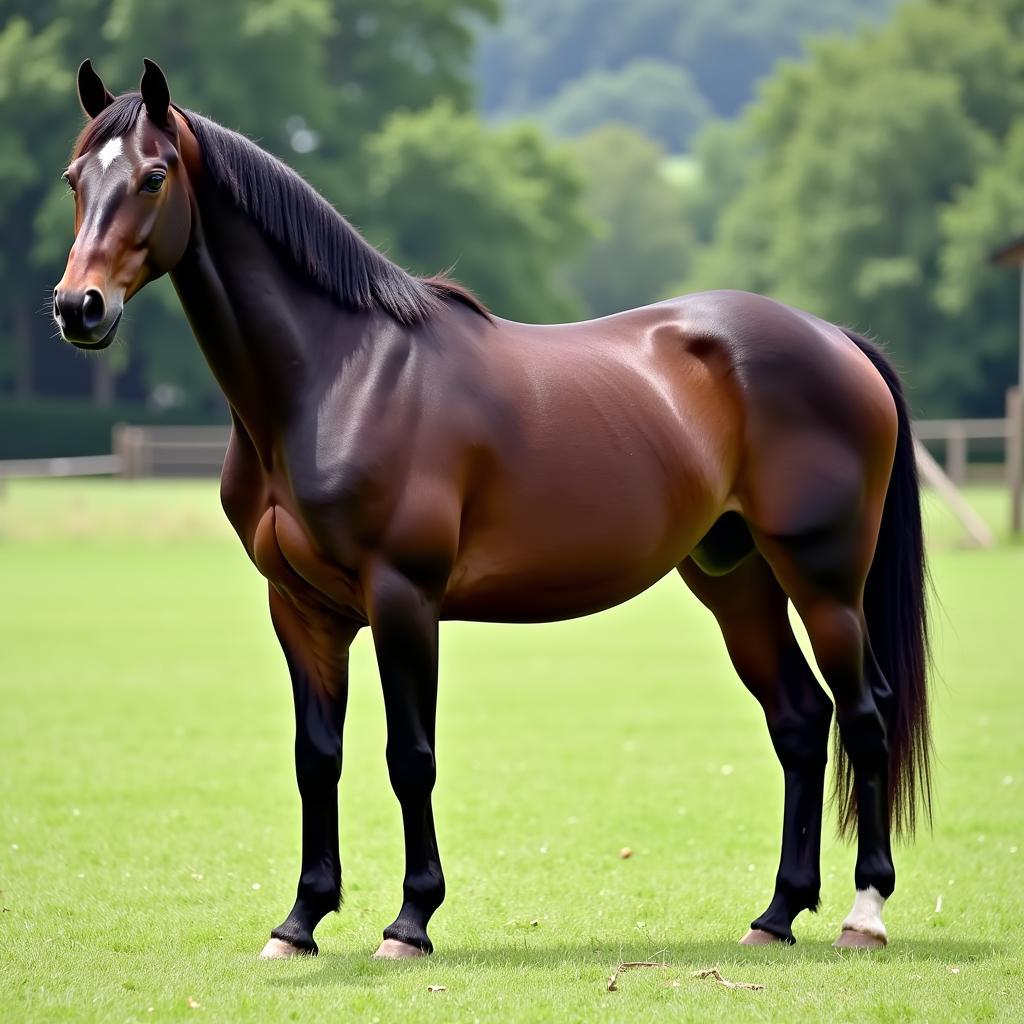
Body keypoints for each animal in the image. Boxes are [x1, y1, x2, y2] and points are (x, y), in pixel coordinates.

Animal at [54, 59, 929, 958]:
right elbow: (316, 757)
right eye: (75, 179)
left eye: (154, 176)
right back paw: (777, 914)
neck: (337, 375)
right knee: (801, 721)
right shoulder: (300, 608)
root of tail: (837, 340)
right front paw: (299, 922)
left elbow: (411, 756)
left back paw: (863, 914)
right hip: (735, 579)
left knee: (865, 715)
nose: (77, 307)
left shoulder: (403, 598)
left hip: (824, 581)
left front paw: (409, 922)